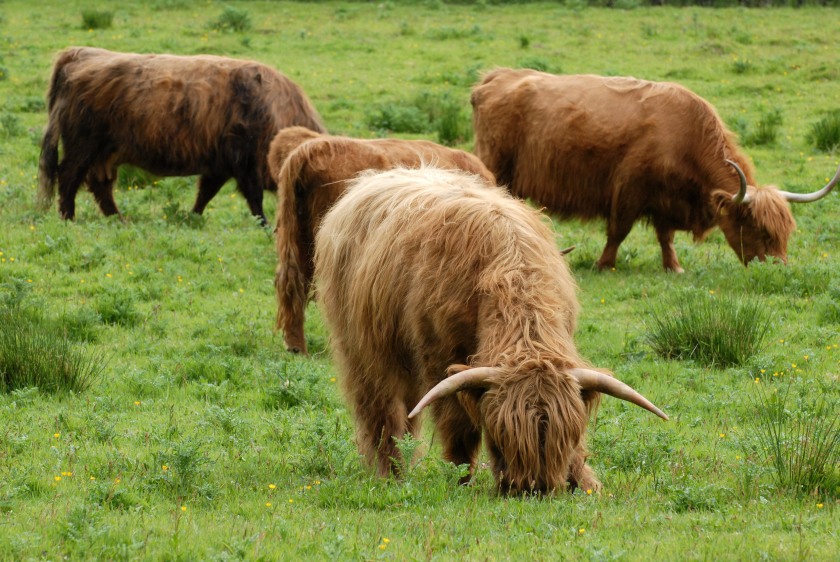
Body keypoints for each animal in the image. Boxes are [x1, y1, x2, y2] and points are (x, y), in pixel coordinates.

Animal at [37, 47, 326, 224]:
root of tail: (81, 54)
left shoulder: (220, 164)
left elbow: (205, 193)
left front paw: (192, 217)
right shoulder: (246, 162)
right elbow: (254, 200)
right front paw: (264, 225)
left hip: (105, 153)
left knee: (100, 185)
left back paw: (118, 219)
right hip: (83, 145)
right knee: (68, 176)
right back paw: (69, 218)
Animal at [314, 167, 668, 494]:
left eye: (565, 436)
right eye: (500, 435)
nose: (533, 487)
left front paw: (585, 481)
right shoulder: (440, 358)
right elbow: (458, 424)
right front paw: (460, 479)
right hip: (363, 350)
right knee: (380, 410)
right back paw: (391, 472)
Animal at [471, 68, 839, 272]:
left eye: (785, 232)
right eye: (757, 229)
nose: (779, 268)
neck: (685, 135)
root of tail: (496, 77)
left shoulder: (667, 198)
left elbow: (666, 236)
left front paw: (673, 266)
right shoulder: (629, 189)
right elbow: (618, 231)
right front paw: (604, 264)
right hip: (494, 165)